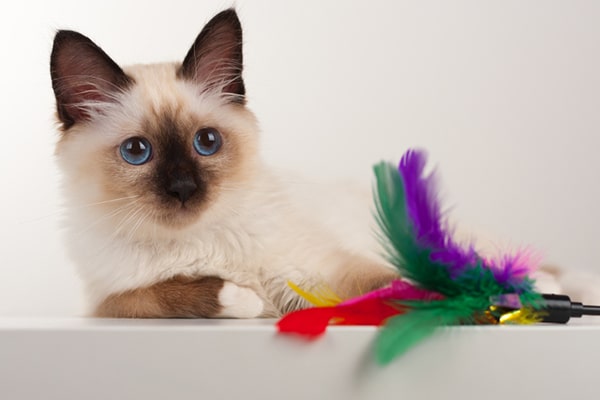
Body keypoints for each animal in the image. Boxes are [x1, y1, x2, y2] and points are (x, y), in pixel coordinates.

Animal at [50, 7, 398, 318]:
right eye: (136, 151)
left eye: (207, 142)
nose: (183, 188)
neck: (199, 241)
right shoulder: (109, 301)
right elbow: (159, 294)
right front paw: (244, 299)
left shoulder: (323, 267)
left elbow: (384, 283)